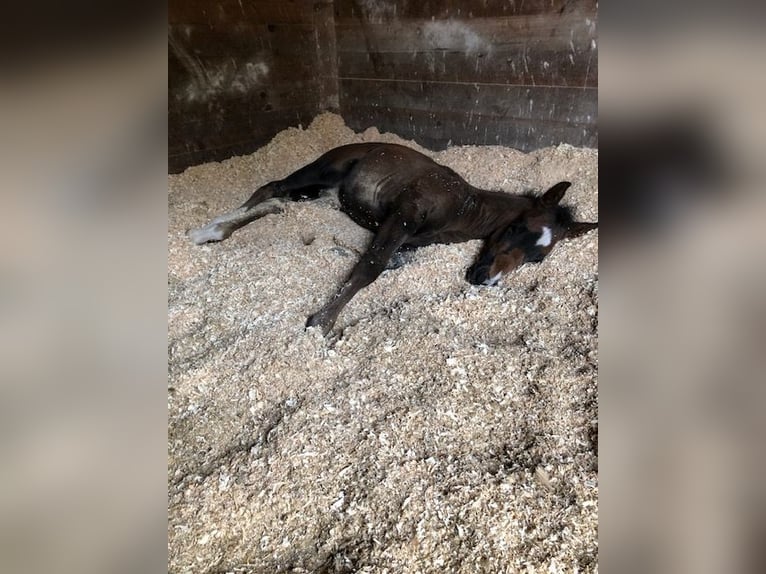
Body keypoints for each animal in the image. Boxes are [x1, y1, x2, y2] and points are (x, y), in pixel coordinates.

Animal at [188, 143, 597, 334]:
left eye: (538, 258)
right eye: (515, 228)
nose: (486, 279)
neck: (464, 208)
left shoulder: (405, 240)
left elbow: (380, 263)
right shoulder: (403, 214)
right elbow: (370, 267)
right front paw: (321, 323)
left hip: (322, 198)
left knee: (277, 206)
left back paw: (214, 232)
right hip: (319, 173)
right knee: (270, 188)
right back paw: (206, 229)